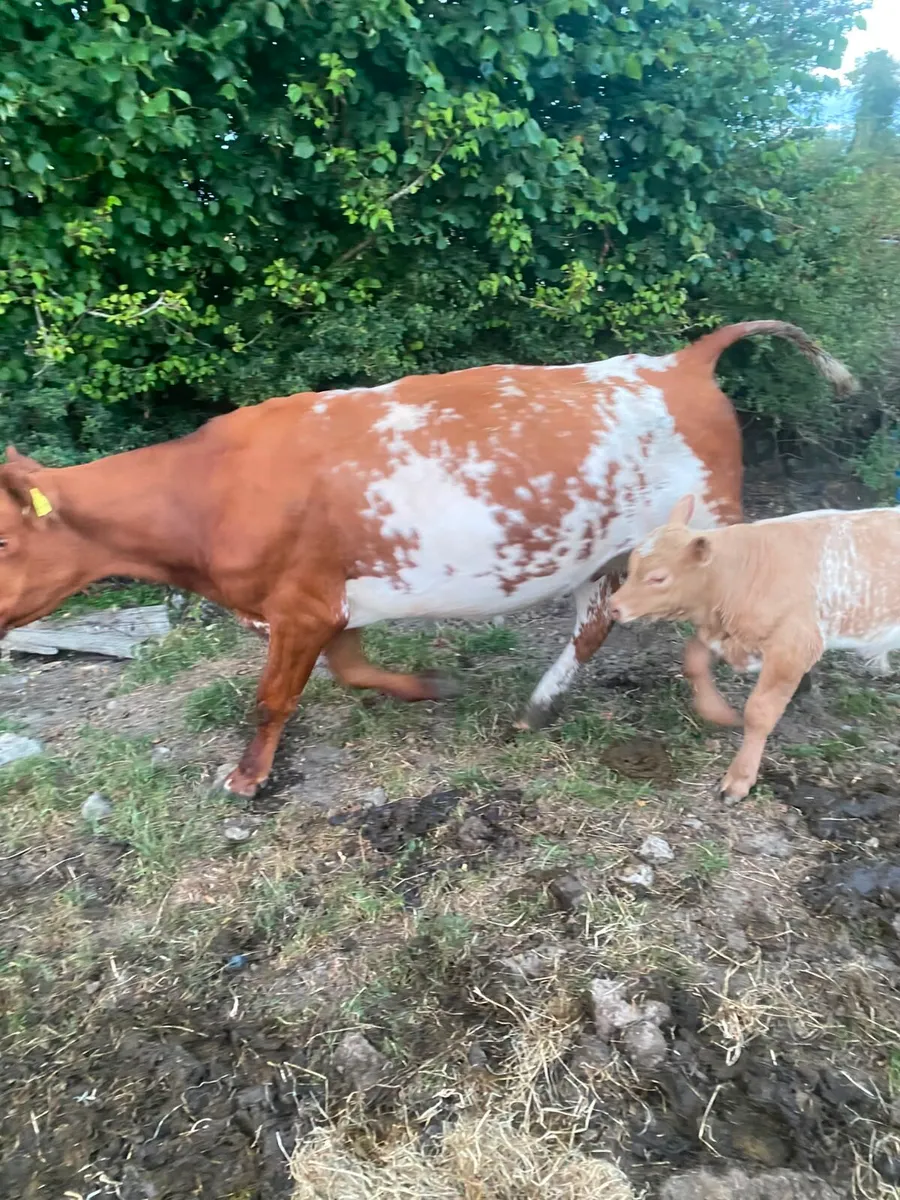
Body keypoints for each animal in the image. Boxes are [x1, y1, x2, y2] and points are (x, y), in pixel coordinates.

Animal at [0, 321, 854, 798]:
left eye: (5, 539)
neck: (209, 495)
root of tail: (681, 361)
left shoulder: (299, 605)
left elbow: (272, 700)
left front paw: (246, 777)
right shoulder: (329, 603)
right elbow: (351, 671)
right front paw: (429, 685)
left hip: (709, 518)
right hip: (602, 551)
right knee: (594, 623)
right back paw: (538, 707)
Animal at [609, 496, 900, 803]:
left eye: (658, 578)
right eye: (631, 567)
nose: (614, 606)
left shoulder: (792, 647)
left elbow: (759, 712)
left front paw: (738, 780)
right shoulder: (726, 637)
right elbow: (693, 660)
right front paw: (719, 713)